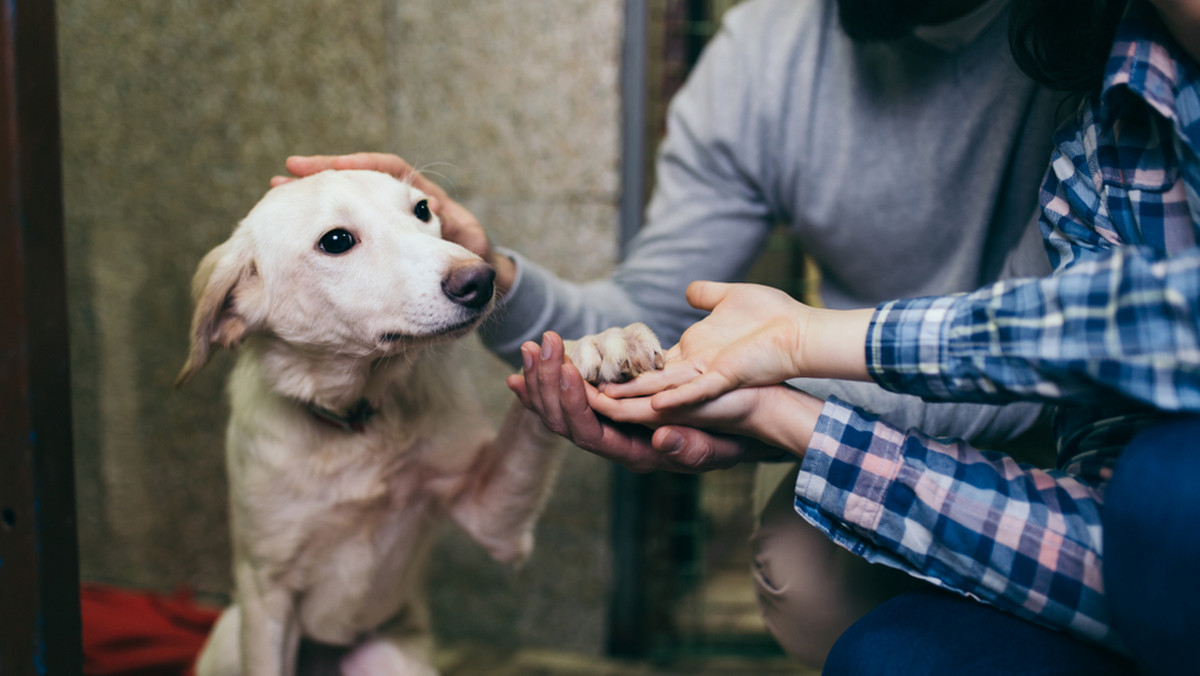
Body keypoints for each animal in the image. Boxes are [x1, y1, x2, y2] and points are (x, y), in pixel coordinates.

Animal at [176, 170, 662, 676]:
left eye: (423, 210)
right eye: (336, 241)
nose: (481, 279)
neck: (357, 421)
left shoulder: (492, 517)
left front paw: (594, 343)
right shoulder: (267, 592)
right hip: (234, 632)